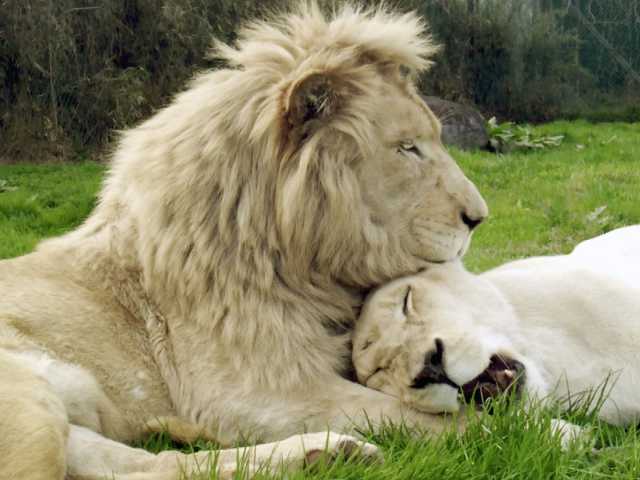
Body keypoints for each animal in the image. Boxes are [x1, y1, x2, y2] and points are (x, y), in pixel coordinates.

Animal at [1, 1, 490, 478]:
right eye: (407, 148)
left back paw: (328, 453)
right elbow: (443, 421)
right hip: (29, 402)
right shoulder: (253, 392)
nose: (478, 218)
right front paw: (504, 419)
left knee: (153, 464)